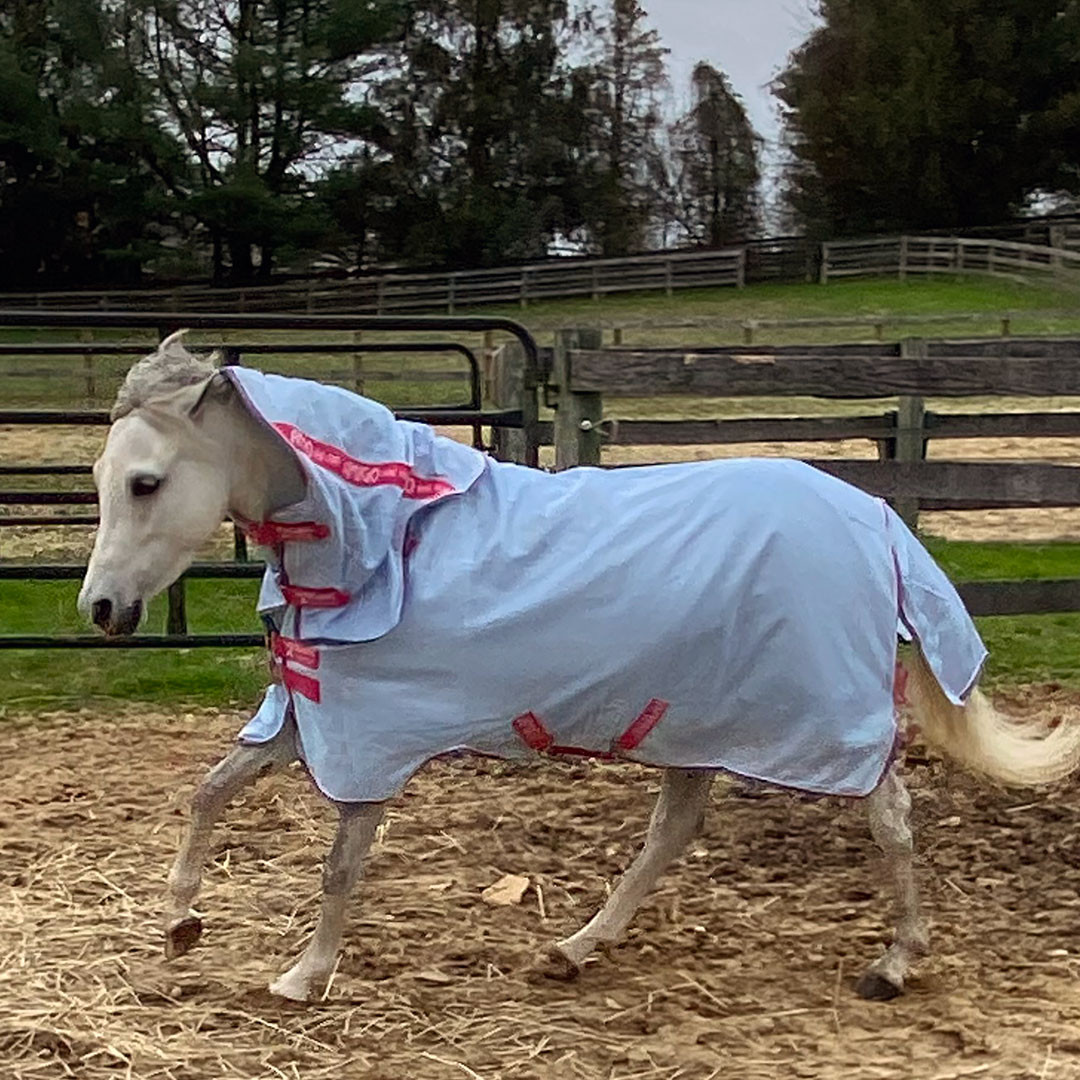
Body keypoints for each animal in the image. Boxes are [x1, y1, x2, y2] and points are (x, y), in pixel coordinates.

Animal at [78, 332, 1080, 1003]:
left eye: (146, 482)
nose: (102, 611)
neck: (386, 543)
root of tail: (875, 521)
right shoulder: (308, 720)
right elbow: (208, 793)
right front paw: (180, 923)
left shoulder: (371, 744)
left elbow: (337, 868)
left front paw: (302, 976)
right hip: (694, 720)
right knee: (672, 834)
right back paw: (573, 948)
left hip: (823, 725)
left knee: (891, 820)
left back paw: (894, 963)